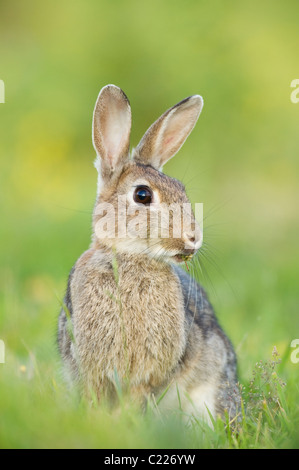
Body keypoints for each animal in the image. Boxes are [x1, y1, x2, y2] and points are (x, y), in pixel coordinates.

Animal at [58, 84, 241, 426]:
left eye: (182, 189)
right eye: (142, 195)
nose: (193, 237)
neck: (130, 257)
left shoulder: (148, 375)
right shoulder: (92, 368)